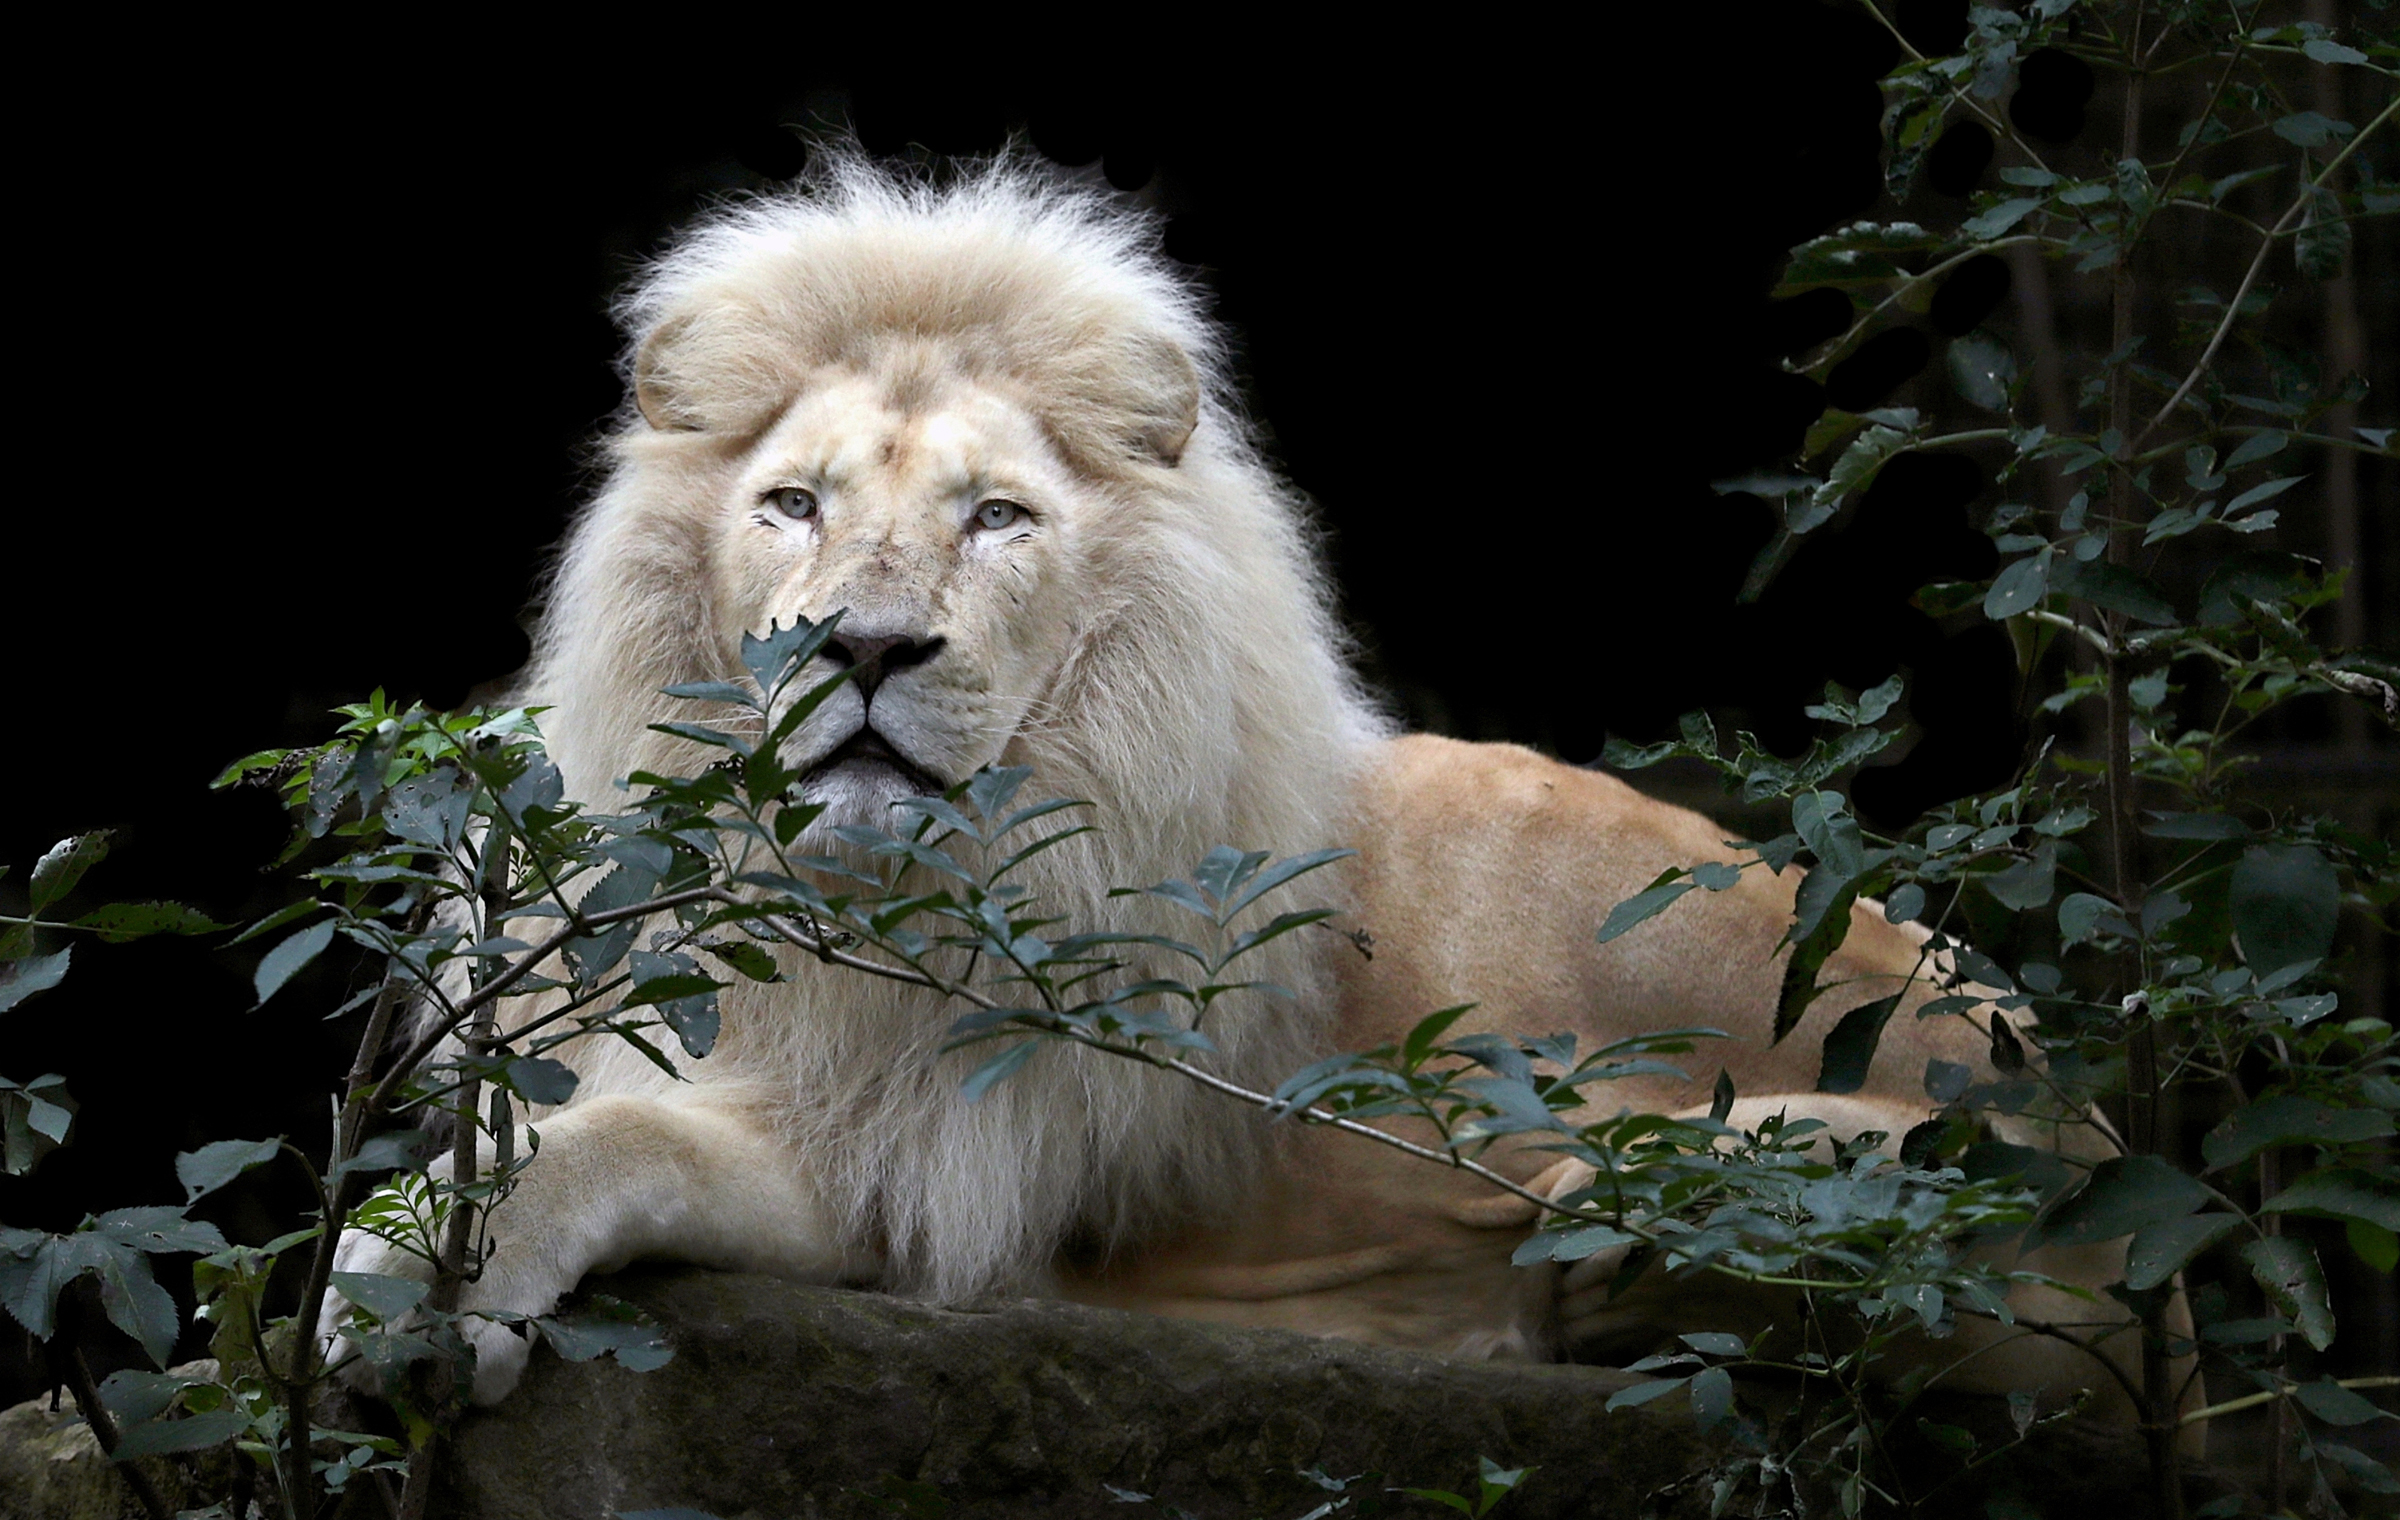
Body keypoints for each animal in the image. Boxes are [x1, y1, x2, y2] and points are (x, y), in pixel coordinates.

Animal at [324, 148, 2179, 1421]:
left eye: (997, 518)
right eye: (792, 504)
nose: (865, 648)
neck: (863, 907)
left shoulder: (953, 1158)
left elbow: (609, 1132)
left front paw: (422, 1277)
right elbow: (607, 1120)